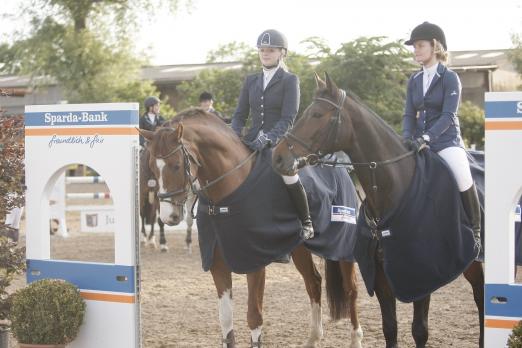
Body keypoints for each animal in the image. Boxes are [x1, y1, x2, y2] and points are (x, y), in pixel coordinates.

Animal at [272, 73, 484, 348]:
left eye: (317, 114)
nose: (277, 157)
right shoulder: (381, 276)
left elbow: (419, 330)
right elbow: (389, 328)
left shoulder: (422, 274)